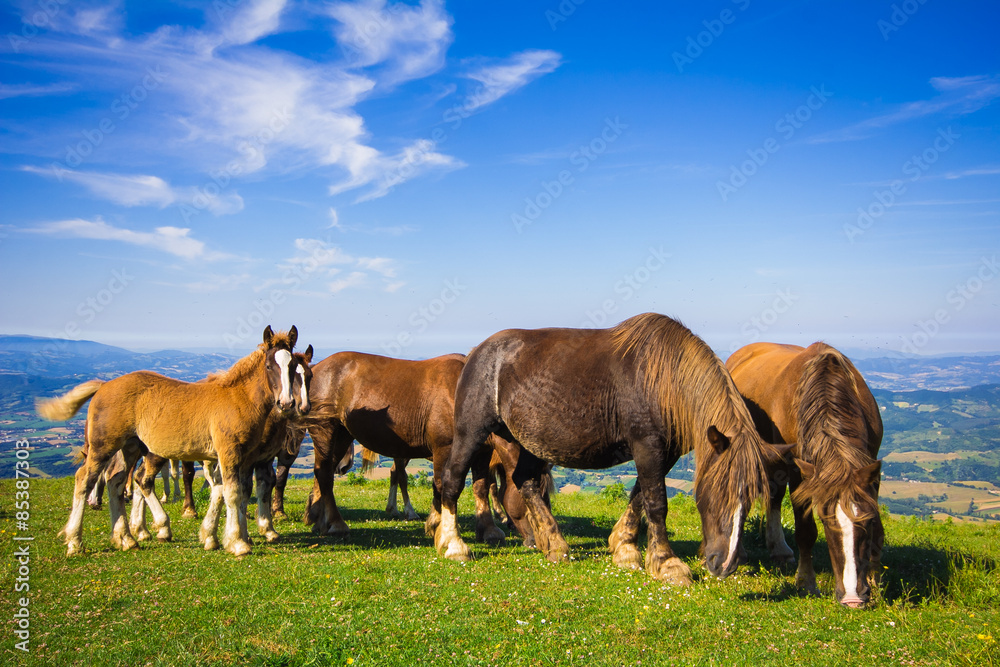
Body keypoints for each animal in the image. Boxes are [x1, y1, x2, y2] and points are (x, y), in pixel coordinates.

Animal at [298, 352, 532, 544]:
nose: (535, 539)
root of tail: (317, 368)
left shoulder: (482, 452)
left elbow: (481, 487)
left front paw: (488, 529)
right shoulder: (444, 448)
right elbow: (442, 486)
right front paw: (438, 525)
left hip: (342, 436)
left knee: (325, 472)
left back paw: (319, 520)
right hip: (326, 431)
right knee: (325, 474)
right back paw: (337, 524)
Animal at [436, 314, 788, 584]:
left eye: (749, 499)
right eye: (717, 493)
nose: (723, 565)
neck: (664, 379)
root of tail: (478, 352)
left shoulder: (663, 452)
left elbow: (639, 497)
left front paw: (625, 548)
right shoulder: (647, 446)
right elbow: (656, 503)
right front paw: (667, 563)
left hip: (528, 443)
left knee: (525, 481)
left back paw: (555, 544)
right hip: (471, 433)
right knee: (453, 481)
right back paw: (453, 545)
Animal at [728, 342, 884, 608]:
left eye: (868, 521)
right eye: (827, 521)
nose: (852, 598)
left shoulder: (871, 466)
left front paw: (875, 579)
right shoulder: (799, 473)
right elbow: (805, 531)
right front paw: (806, 581)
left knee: (774, 497)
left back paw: (779, 549)